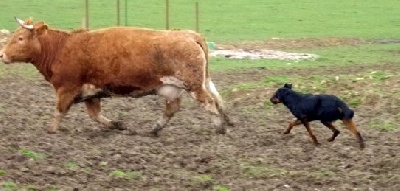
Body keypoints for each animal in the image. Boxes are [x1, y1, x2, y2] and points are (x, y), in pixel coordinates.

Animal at [0, 17, 233, 135]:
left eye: (20, 38)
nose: (2, 54)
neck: (62, 47)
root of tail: (189, 34)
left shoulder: (67, 88)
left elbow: (59, 110)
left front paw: (51, 130)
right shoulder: (90, 92)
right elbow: (95, 115)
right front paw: (118, 125)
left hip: (194, 85)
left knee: (209, 103)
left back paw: (219, 127)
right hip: (172, 88)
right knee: (172, 109)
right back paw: (154, 129)